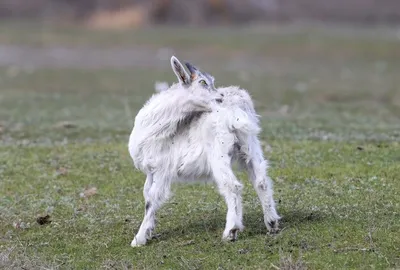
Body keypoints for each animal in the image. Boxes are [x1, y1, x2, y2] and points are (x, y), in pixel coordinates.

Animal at [127, 56, 278, 247]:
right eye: (203, 82)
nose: (220, 97)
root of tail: (235, 109)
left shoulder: (163, 169)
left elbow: (152, 199)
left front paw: (139, 238)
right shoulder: (151, 171)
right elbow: (146, 195)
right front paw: (149, 232)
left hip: (218, 153)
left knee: (232, 186)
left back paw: (231, 231)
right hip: (250, 144)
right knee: (261, 181)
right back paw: (272, 223)